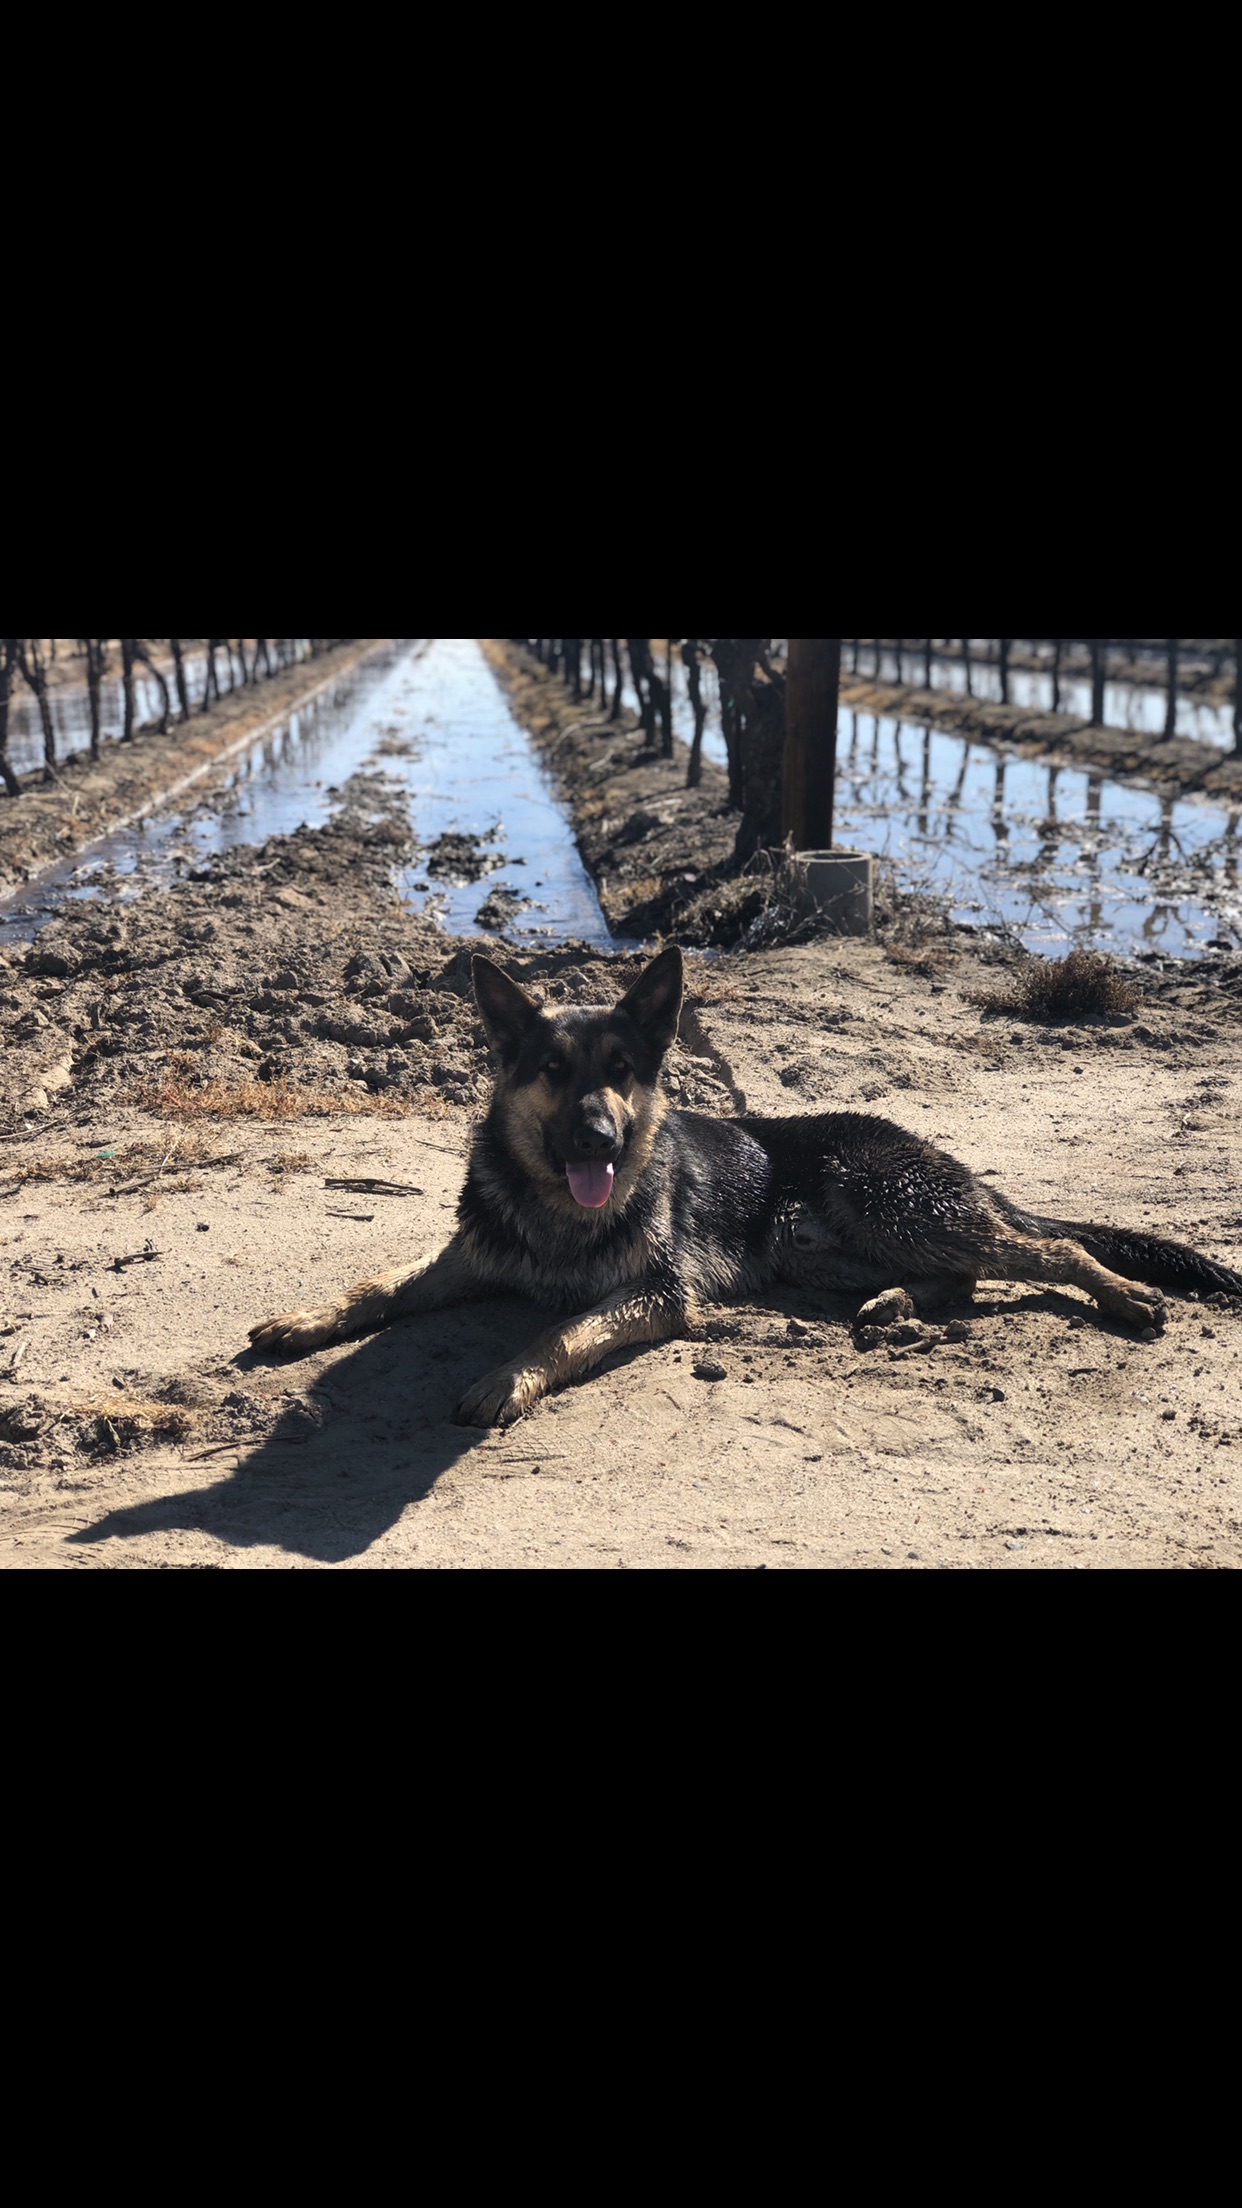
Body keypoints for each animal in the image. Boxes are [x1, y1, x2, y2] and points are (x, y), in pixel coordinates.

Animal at [248, 945, 1237, 1430]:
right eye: (553, 1071)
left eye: (621, 1070)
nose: (600, 1138)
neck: (560, 1210)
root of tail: (938, 1153)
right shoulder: (469, 1257)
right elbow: (374, 1286)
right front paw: (306, 1319)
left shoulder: (656, 1295)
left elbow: (561, 1331)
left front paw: (507, 1378)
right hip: (818, 1247)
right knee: (966, 1274)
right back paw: (896, 1305)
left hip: (887, 1202)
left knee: (1046, 1247)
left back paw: (1124, 1296)